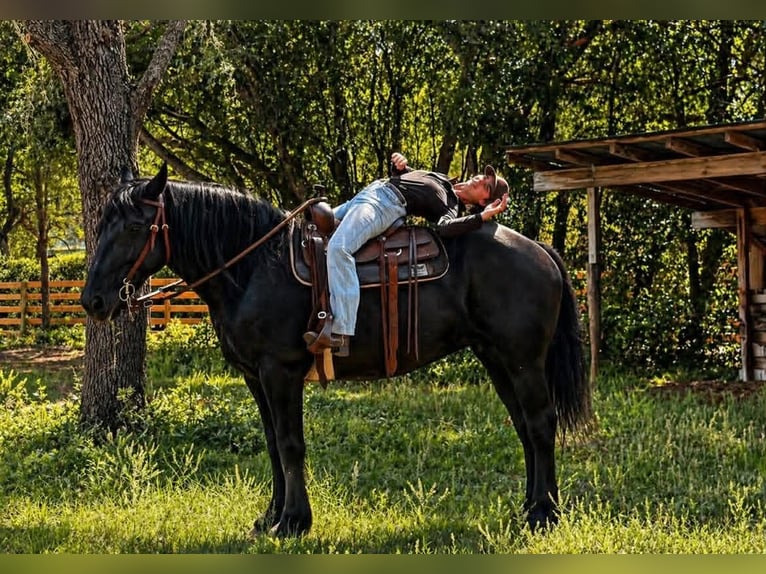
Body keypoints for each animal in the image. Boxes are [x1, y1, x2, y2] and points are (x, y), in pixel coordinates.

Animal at [81, 163, 591, 537]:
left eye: (133, 225)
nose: (93, 301)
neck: (252, 266)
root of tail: (539, 249)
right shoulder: (255, 375)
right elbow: (272, 444)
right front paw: (270, 517)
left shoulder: (280, 372)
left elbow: (290, 444)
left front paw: (293, 522)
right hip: (496, 359)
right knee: (524, 427)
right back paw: (530, 507)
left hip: (524, 361)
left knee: (540, 425)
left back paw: (545, 515)